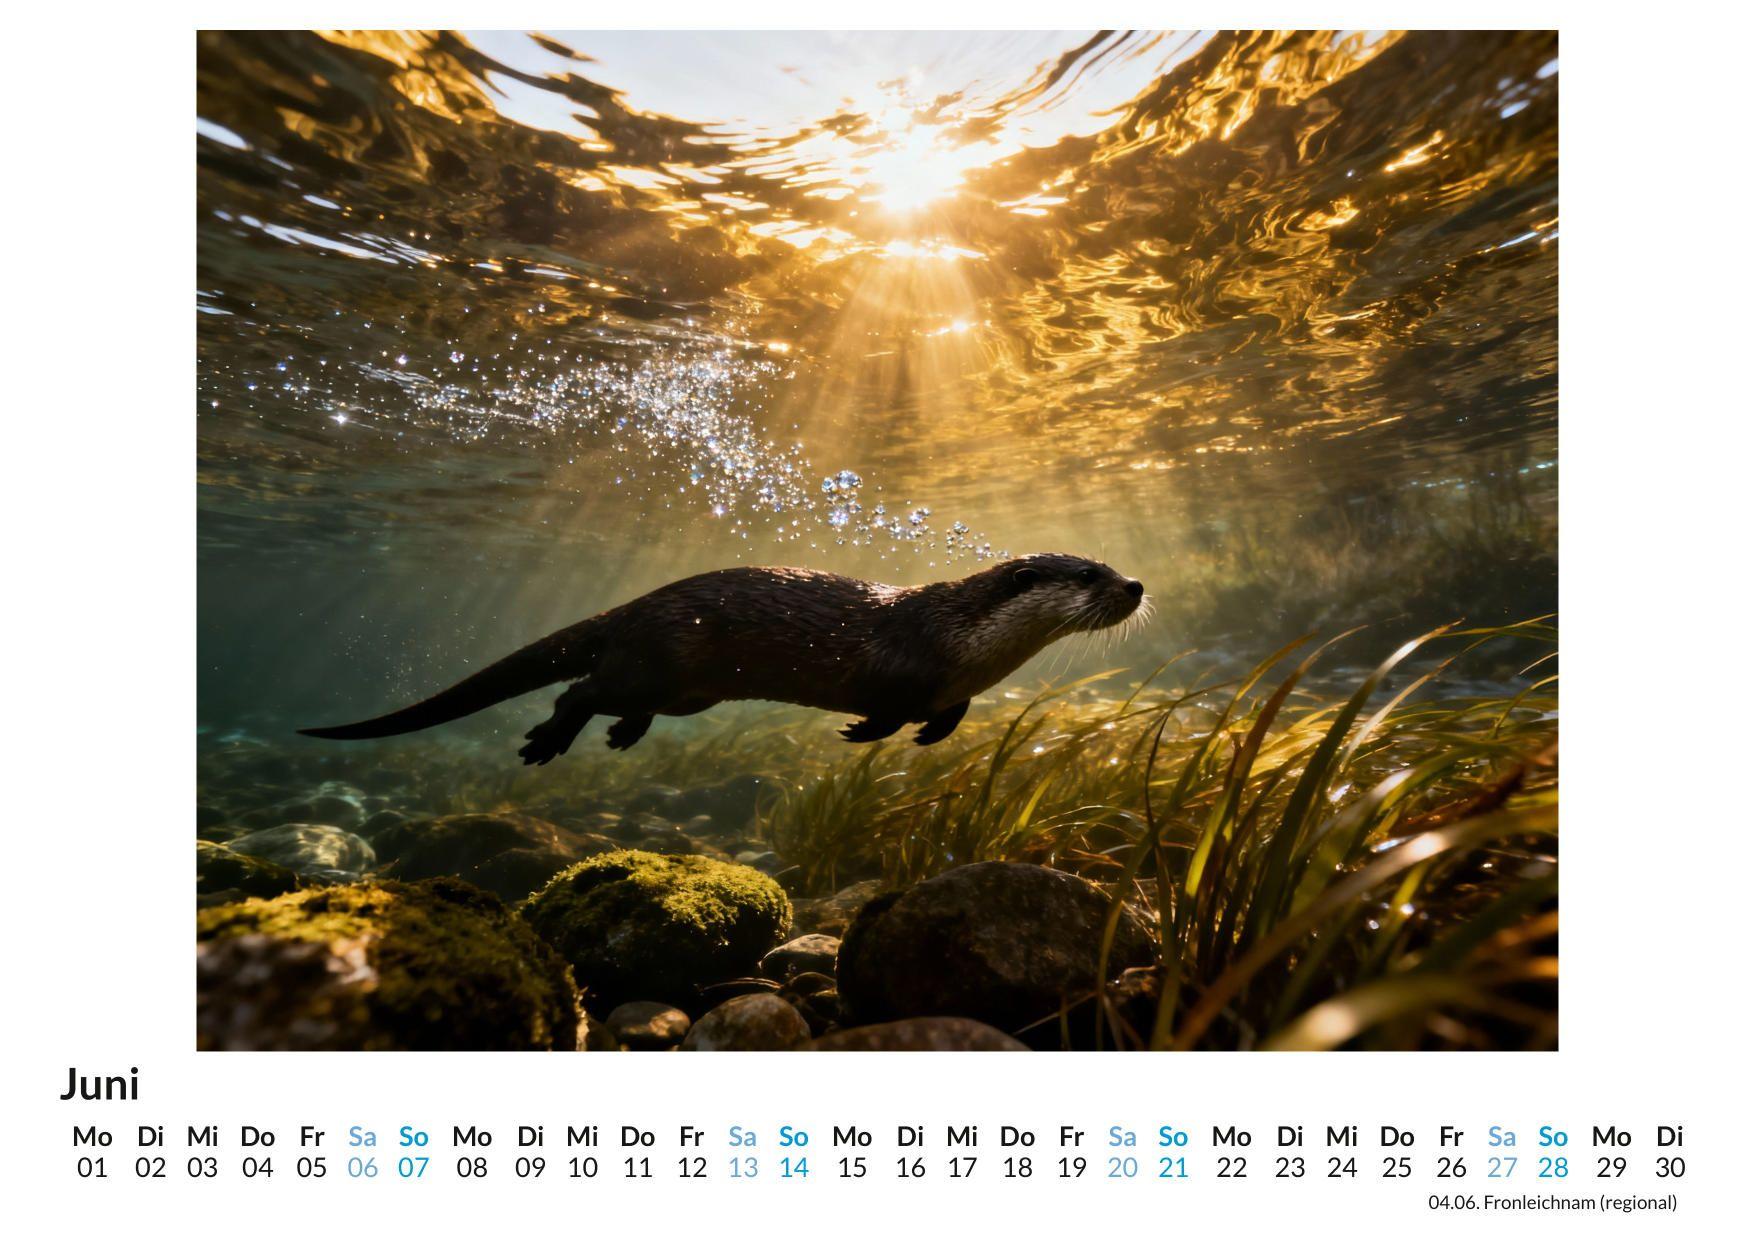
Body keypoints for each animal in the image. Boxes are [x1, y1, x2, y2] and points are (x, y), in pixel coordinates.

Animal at [300, 553, 1145, 764]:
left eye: (1107, 564)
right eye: (1087, 575)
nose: (1136, 583)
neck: (965, 644)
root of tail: (631, 606)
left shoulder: (959, 683)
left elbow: (949, 713)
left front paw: (932, 734)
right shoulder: (903, 662)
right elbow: (885, 705)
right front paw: (863, 733)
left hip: (688, 690)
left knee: (617, 699)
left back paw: (624, 736)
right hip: (659, 655)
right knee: (579, 689)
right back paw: (550, 741)